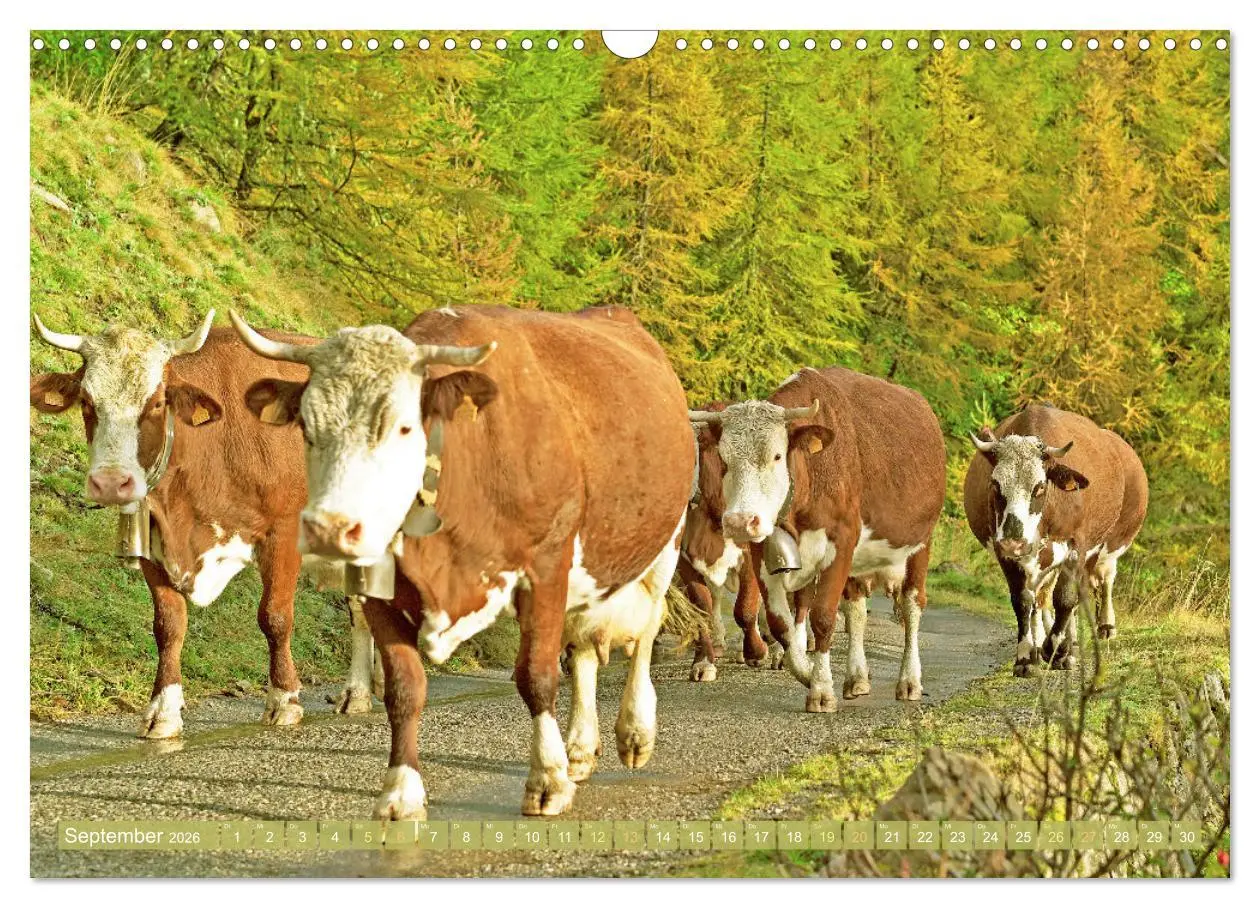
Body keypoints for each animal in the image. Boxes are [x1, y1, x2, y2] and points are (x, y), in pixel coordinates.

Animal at [29, 312, 378, 738]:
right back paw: (361, 692)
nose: (111, 482)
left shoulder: (283, 531)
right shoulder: (156, 542)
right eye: (87, 401)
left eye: (157, 402)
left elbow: (275, 617)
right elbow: (168, 625)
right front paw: (163, 711)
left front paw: (284, 700)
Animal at [230, 304, 695, 820]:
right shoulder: (379, 589)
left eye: (404, 427)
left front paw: (546, 780)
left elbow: (537, 676)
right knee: (585, 651)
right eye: (307, 430)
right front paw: (401, 792)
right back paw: (578, 748)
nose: (331, 527)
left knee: (646, 631)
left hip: (663, 544)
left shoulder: (546, 568)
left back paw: (633, 732)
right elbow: (404, 688)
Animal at [689, 366, 947, 711]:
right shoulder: (762, 554)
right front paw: (806, 671)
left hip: (920, 543)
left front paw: (821, 689)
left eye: (777, 456)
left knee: (912, 606)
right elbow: (780, 622)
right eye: (725, 460)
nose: (740, 521)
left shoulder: (841, 544)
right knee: (856, 611)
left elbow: (823, 617)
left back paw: (909, 680)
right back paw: (857, 677)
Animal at [963, 404, 1148, 675]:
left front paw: (1057, 650)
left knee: (1101, 581)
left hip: (1105, 546)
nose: (1014, 541)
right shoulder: (1004, 551)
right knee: (1041, 596)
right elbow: (1023, 600)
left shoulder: (1077, 547)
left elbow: (1066, 599)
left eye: (1039, 487)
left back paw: (1094, 633)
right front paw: (1026, 657)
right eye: (995, 485)